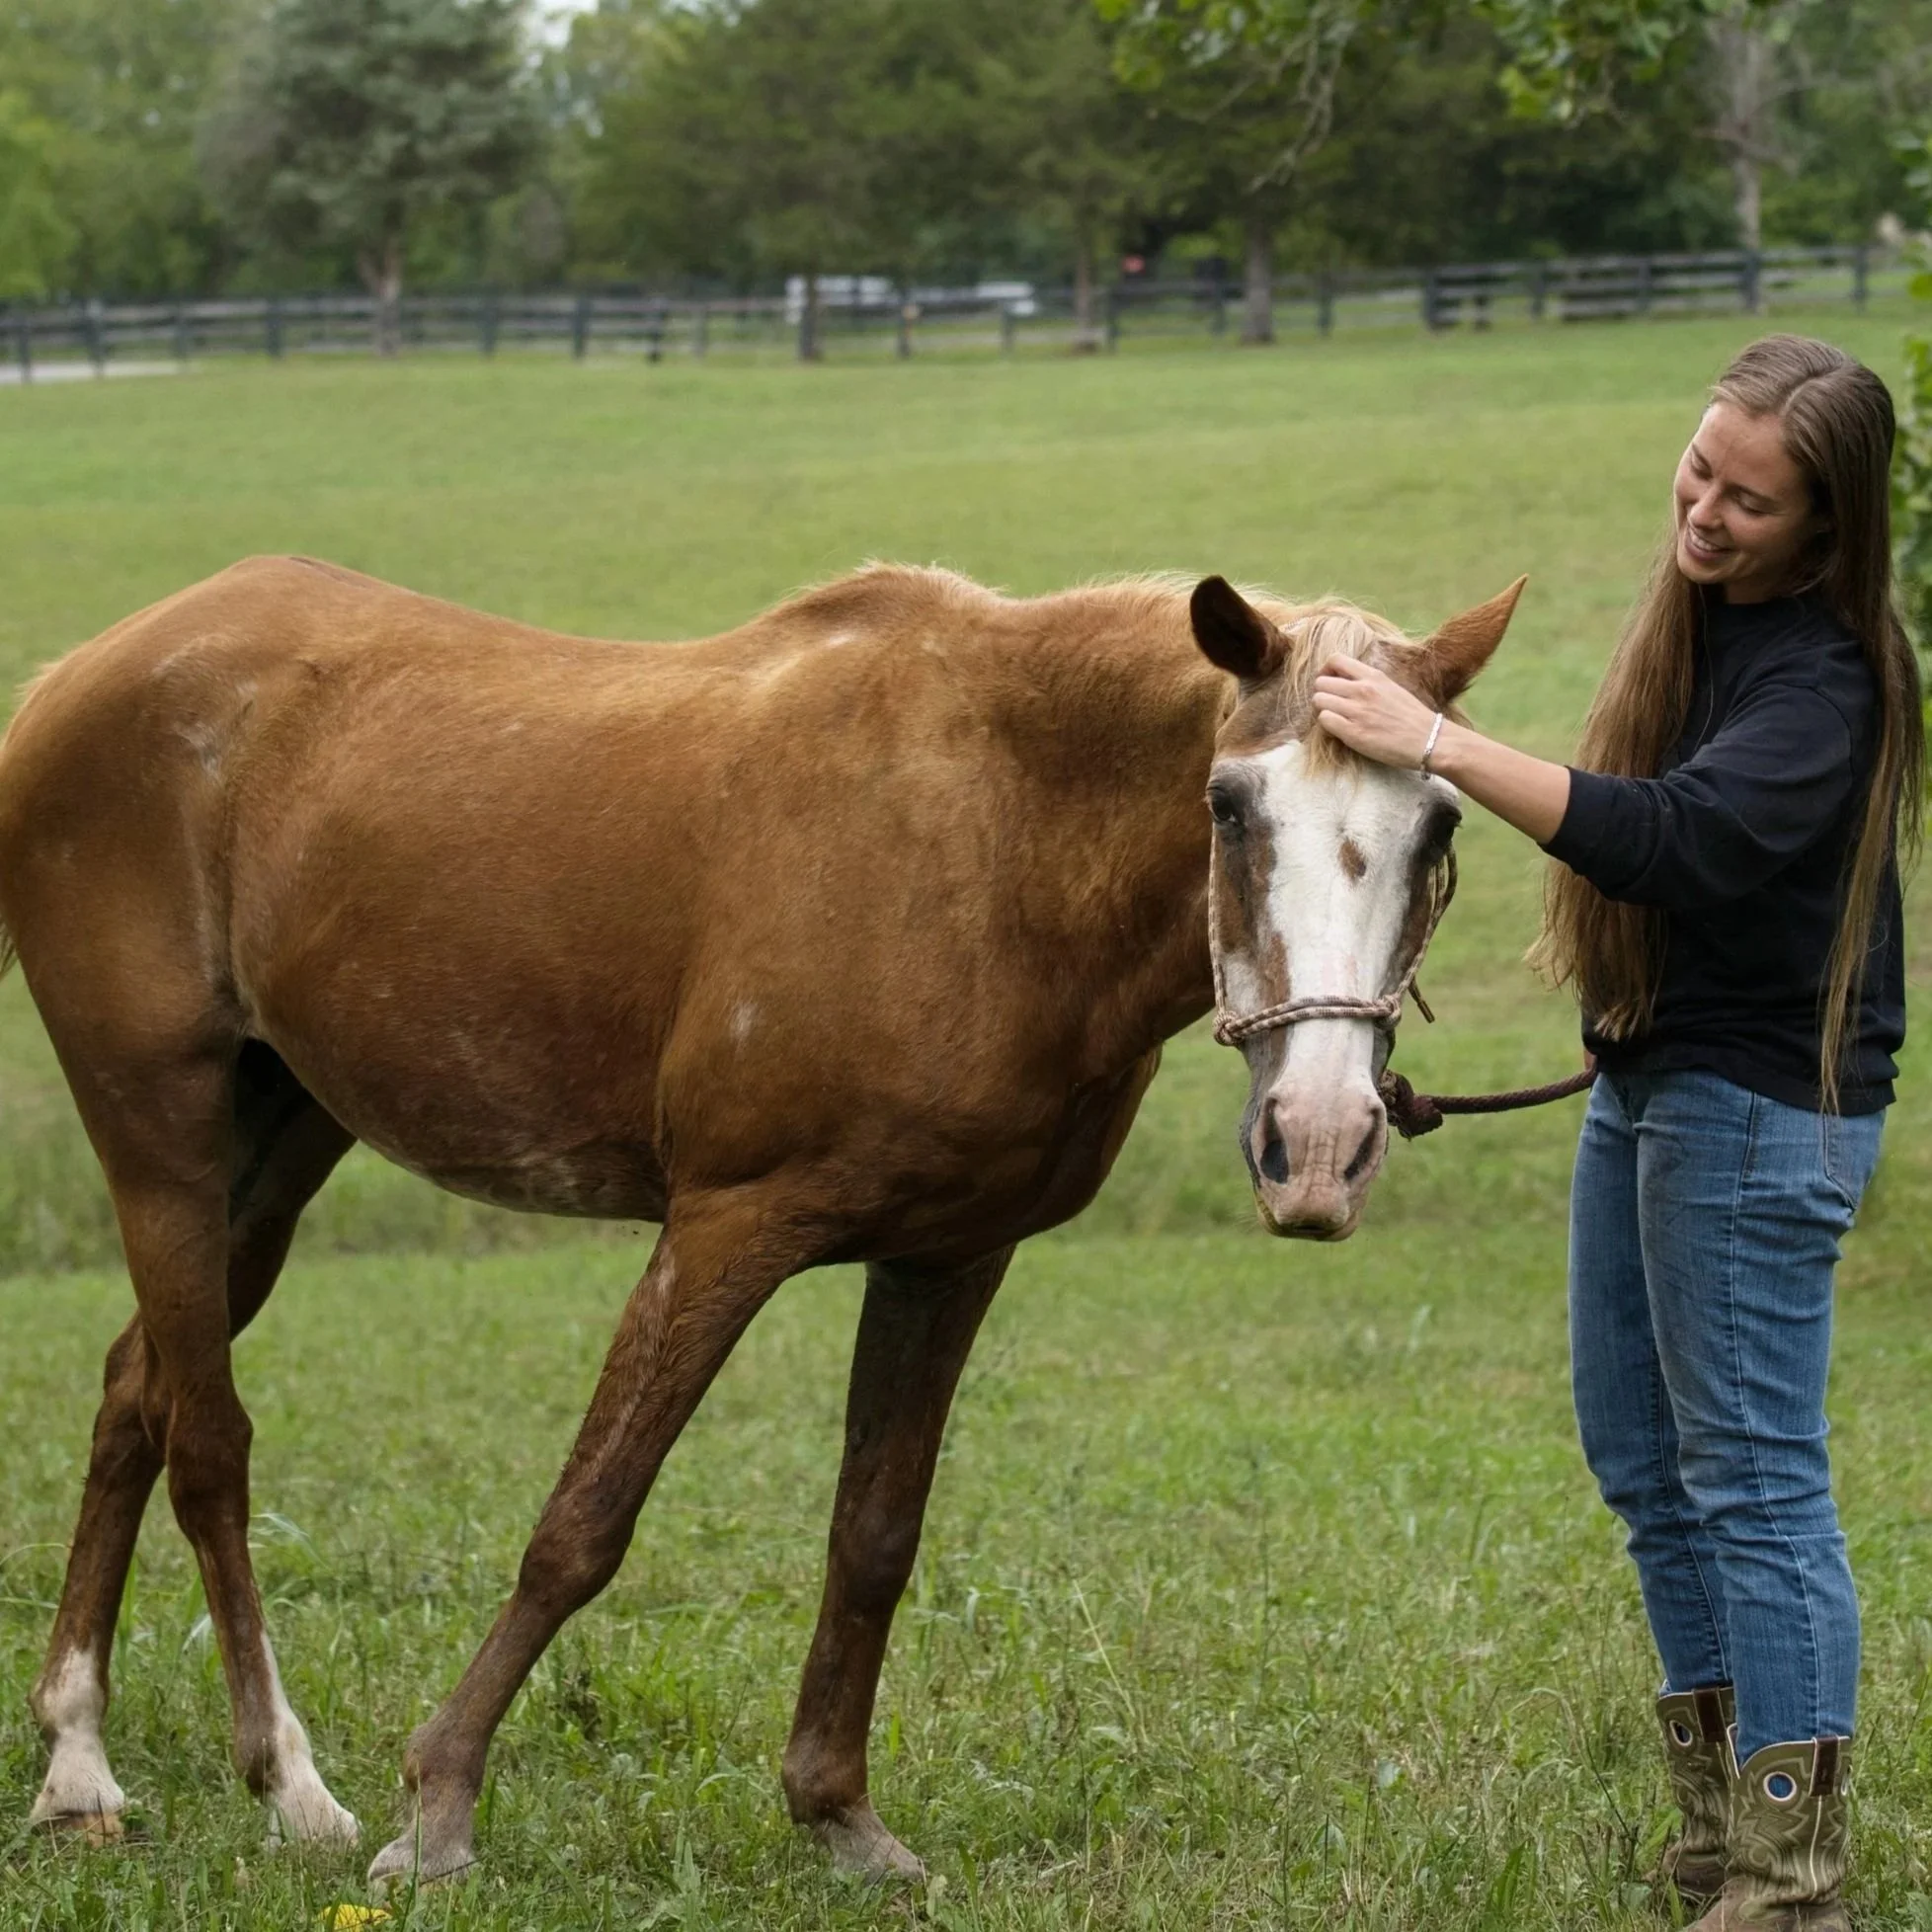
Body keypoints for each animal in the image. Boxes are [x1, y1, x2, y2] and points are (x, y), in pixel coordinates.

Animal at [0, 555, 1518, 1885]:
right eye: (1228, 805)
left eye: (1441, 824)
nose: (1315, 1145)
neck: (991, 839)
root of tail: (72, 680)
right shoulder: (728, 1228)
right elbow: (584, 1521)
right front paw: (437, 1809)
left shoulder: (946, 1257)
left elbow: (873, 1539)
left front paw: (836, 1815)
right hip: (161, 1135)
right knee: (207, 1441)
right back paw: (285, 1783)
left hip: (280, 1136)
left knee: (135, 1396)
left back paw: (77, 1766)